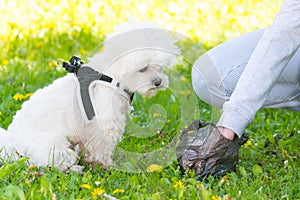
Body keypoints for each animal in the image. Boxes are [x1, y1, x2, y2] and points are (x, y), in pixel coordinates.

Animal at [0, 21, 178, 172]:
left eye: (160, 67)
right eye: (143, 68)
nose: (158, 82)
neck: (111, 77)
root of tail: (13, 141)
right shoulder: (104, 124)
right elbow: (101, 148)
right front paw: (102, 165)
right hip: (55, 148)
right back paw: (74, 168)